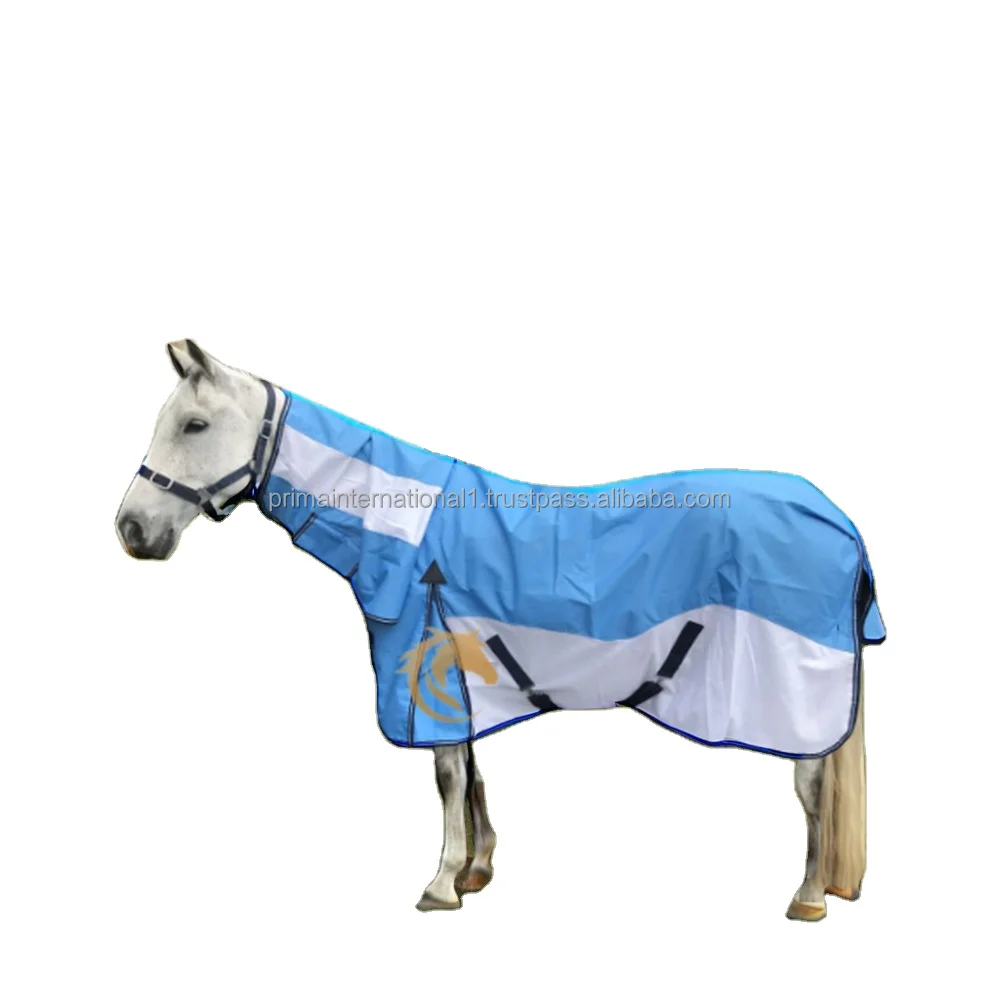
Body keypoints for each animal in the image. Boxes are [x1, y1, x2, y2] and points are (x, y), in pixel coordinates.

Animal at [116, 339, 884, 920]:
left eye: (193, 425)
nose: (132, 530)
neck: (402, 525)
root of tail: (837, 516)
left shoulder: (426, 667)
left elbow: (449, 776)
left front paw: (441, 882)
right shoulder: (461, 674)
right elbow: (471, 773)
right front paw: (476, 869)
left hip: (792, 695)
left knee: (811, 786)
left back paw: (809, 897)